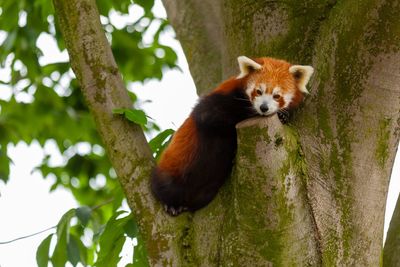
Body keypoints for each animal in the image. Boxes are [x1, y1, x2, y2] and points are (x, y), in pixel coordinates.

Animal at [150, 56, 312, 216]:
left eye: (277, 96)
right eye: (258, 91)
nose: (264, 108)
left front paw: (283, 116)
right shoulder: (220, 99)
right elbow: (210, 116)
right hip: (174, 168)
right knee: (167, 187)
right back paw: (172, 204)